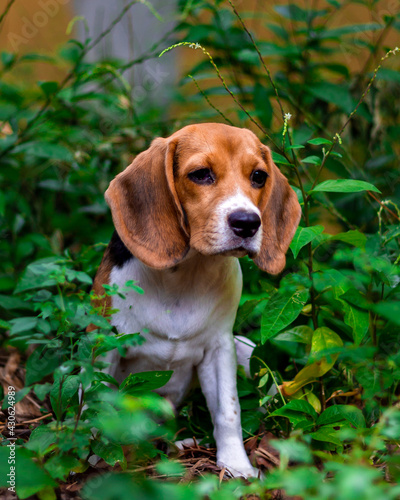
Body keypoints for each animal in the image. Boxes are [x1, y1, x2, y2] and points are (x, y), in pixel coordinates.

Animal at [93, 123, 300, 478]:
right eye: (201, 174)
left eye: (259, 176)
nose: (248, 222)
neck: (186, 274)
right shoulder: (106, 343)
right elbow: (97, 402)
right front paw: (95, 454)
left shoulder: (219, 349)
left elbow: (229, 411)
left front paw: (237, 466)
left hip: (246, 349)